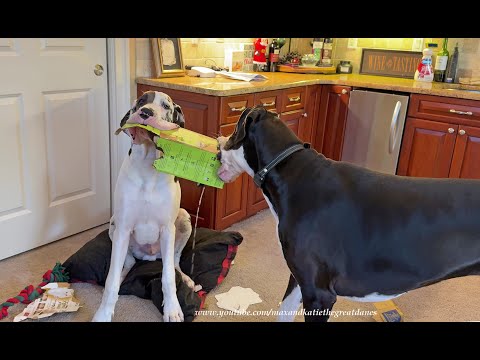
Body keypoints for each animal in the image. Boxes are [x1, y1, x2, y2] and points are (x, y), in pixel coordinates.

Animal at [94, 91, 195, 322]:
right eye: (140, 101)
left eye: (166, 106)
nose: (146, 112)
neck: (149, 166)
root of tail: (150, 256)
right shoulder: (123, 228)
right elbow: (111, 281)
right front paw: (103, 313)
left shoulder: (167, 229)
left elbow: (168, 277)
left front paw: (172, 309)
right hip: (114, 226)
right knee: (128, 264)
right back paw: (123, 276)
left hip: (183, 219)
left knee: (174, 263)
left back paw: (186, 279)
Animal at [218, 105, 480, 322]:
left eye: (232, 133)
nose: (217, 142)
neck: (291, 170)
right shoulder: (300, 278)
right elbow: (284, 310)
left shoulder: (319, 295)